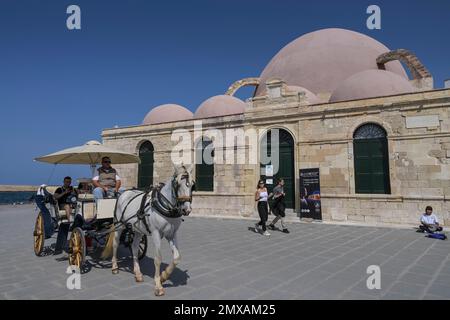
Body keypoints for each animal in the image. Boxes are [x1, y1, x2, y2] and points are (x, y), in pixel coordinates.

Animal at [102, 166, 193, 296]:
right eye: (177, 184)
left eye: (192, 185)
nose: (187, 209)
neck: (165, 206)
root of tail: (123, 193)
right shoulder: (156, 233)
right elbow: (158, 259)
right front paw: (158, 286)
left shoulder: (172, 234)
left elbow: (177, 257)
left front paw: (164, 276)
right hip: (119, 225)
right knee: (115, 244)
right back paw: (114, 267)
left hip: (138, 229)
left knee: (135, 247)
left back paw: (138, 274)